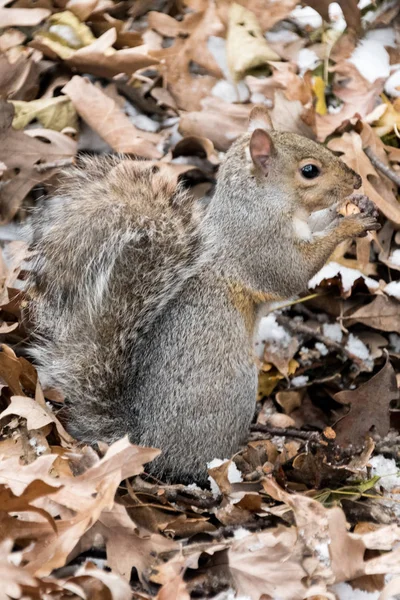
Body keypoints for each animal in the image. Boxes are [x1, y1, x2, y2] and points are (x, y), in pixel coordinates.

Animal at [27, 106, 378, 482]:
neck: (257, 204)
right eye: (309, 170)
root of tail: (141, 442)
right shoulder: (262, 246)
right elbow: (293, 274)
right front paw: (349, 225)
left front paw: (353, 206)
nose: (357, 181)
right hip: (232, 393)